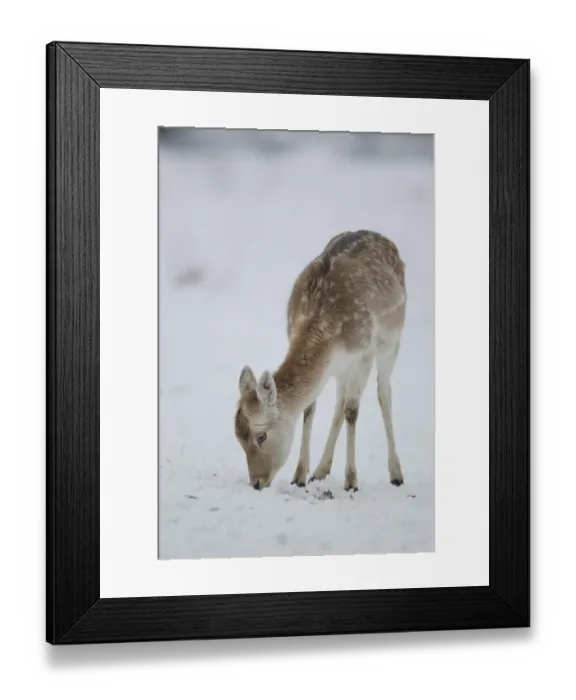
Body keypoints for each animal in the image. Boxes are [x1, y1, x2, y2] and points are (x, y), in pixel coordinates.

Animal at [234, 229, 406, 493]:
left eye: (261, 436)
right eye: (238, 439)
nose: (256, 482)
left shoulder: (363, 355)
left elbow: (352, 411)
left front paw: (351, 482)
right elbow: (310, 407)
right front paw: (300, 476)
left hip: (391, 343)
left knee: (383, 392)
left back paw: (396, 474)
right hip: (342, 370)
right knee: (339, 401)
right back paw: (321, 470)